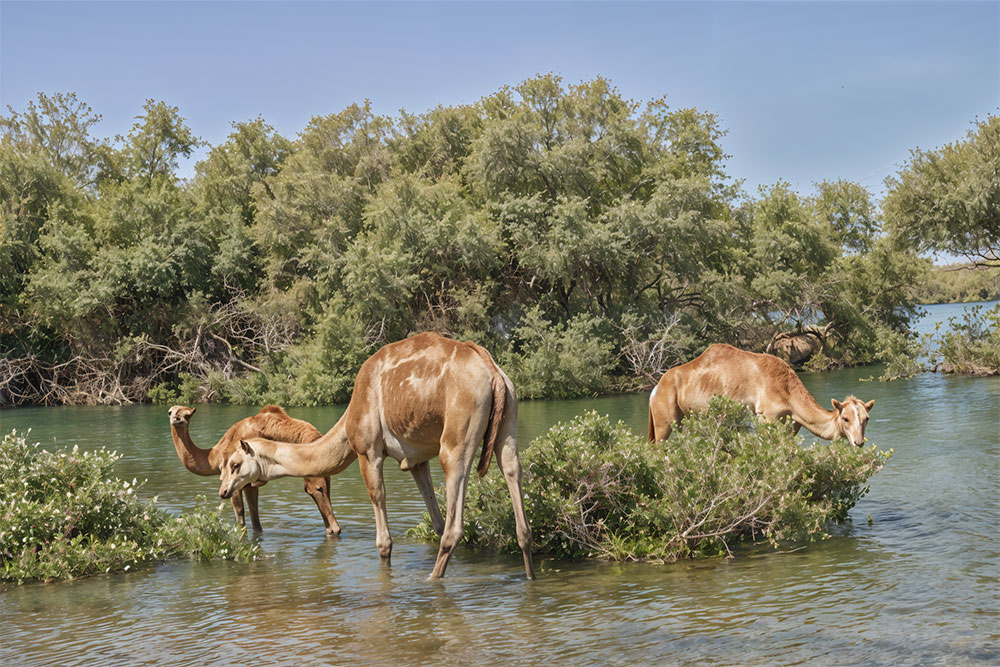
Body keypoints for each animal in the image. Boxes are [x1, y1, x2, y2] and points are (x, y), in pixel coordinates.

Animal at [168, 404, 344, 536]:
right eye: (171, 412)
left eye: (188, 415)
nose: (177, 419)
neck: (214, 457)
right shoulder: (249, 482)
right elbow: (254, 516)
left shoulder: (235, 482)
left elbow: (241, 516)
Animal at [216, 334, 536, 580]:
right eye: (226, 467)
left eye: (234, 465)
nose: (223, 491)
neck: (347, 423)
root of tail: (492, 370)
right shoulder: (417, 460)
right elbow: (434, 520)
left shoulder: (367, 451)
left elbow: (383, 536)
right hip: (508, 422)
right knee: (514, 485)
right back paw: (530, 575)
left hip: (457, 439)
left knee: (454, 525)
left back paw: (432, 579)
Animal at [648, 342, 876, 446]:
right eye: (845, 418)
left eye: (866, 418)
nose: (859, 442)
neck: (788, 392)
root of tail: (654, 389)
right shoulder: (767, 417)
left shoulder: (791, 423)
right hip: (664, 421)